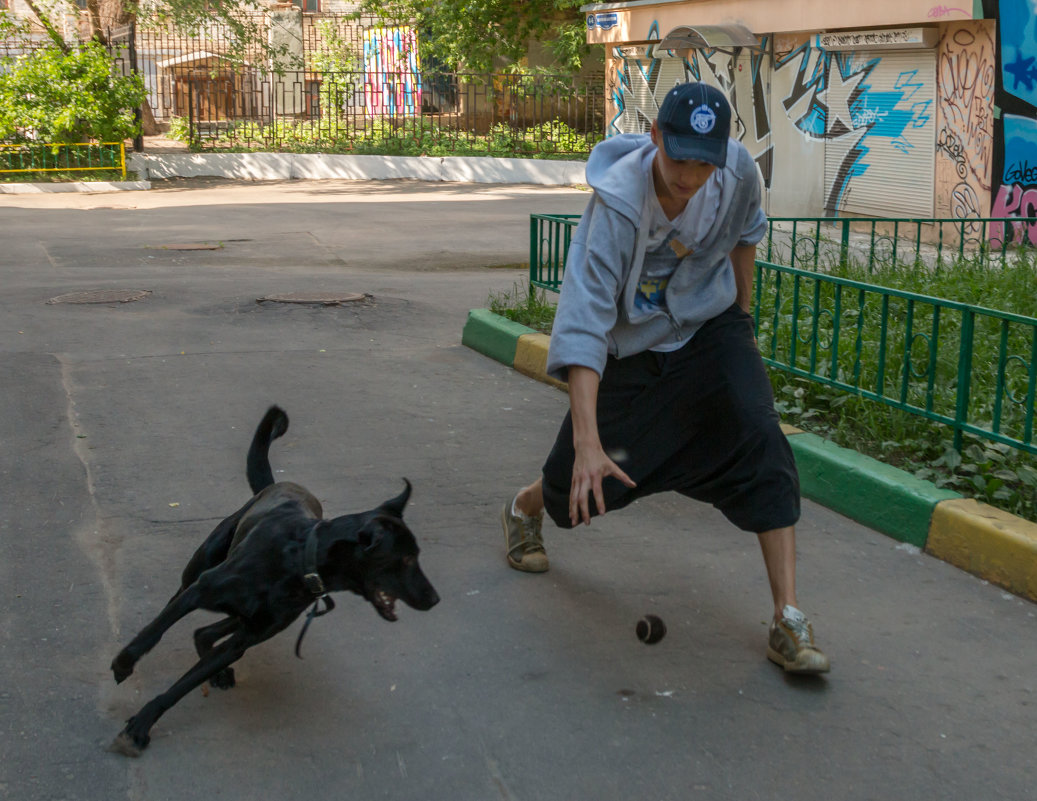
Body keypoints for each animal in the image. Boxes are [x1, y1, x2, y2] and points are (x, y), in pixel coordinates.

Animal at [108, 406, 437, 755]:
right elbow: (152, 633)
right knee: (175, 606)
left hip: (252, 618)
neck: (298, 558)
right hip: (200, 567)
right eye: (406, 559)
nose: (435, 599)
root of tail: (277, 484)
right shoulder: (200, 590)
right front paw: (124, 665)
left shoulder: (246, 638)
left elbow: (184, 685)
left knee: (204, 633)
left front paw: (142, 723)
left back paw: (216, 668)